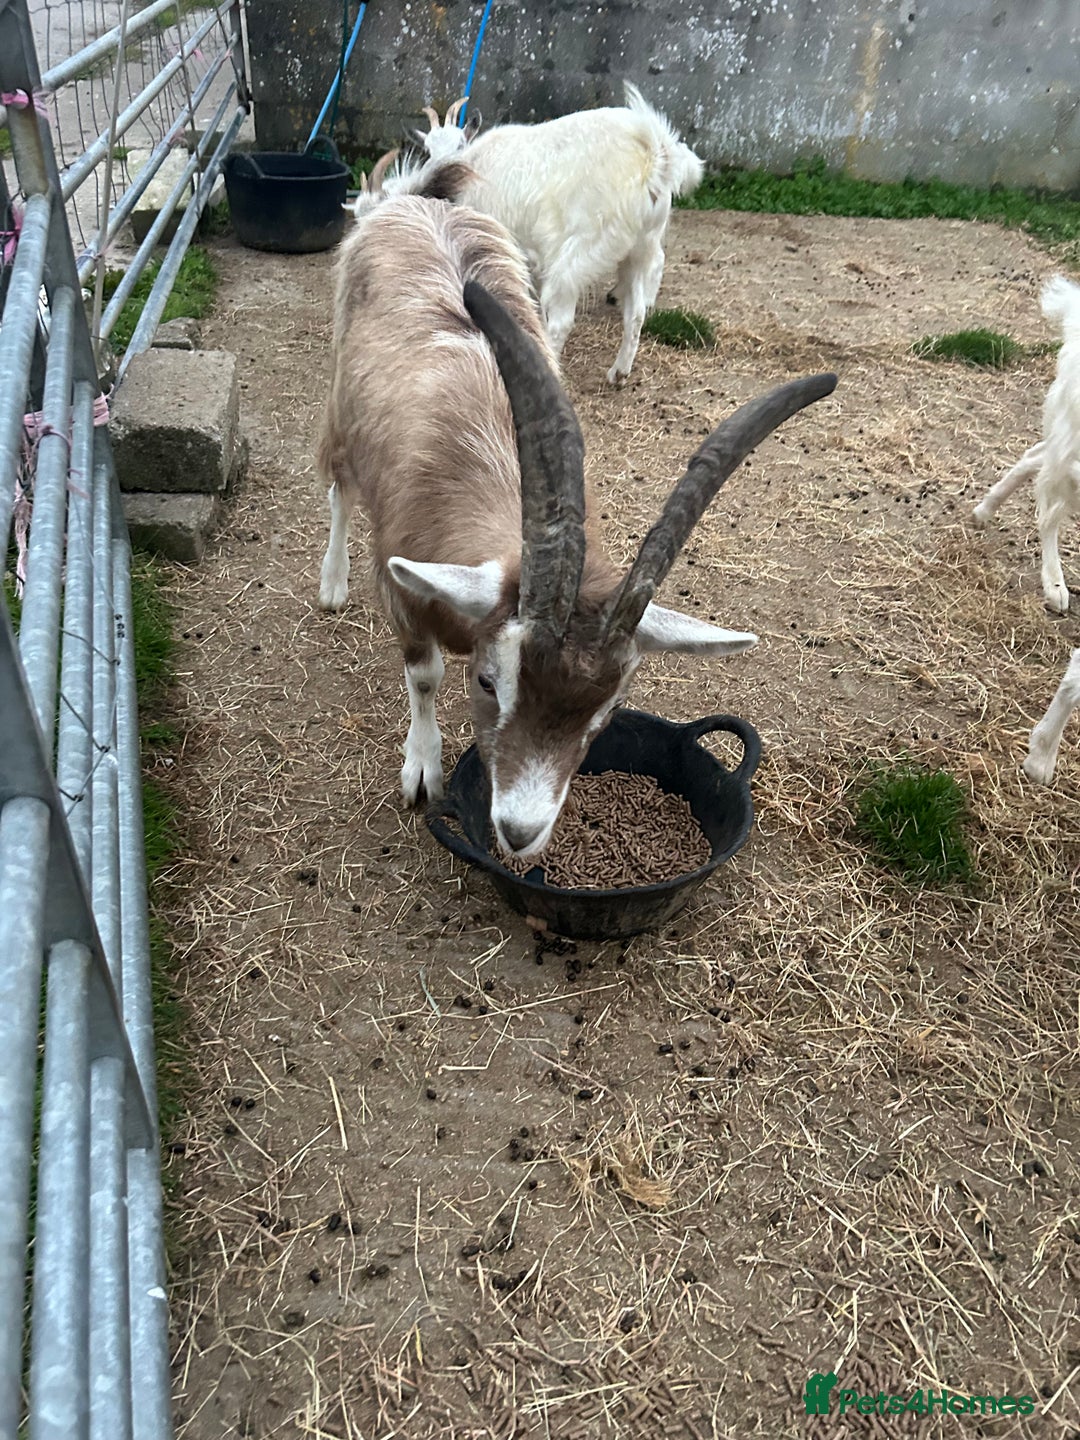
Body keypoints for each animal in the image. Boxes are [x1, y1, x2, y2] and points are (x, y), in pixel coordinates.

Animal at [317, 193, 836, 858]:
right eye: (488, 682)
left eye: (608, 712)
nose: (519, 832)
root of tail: (415, 204)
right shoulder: (402, 589)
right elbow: (426, 676)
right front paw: (422, 770)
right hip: (341, 409)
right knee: (338, 488)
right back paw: (332, 583)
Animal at [362, 82, 705, 386]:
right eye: (428, 149)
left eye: (460, 142)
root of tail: (653, 153)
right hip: (640, 248)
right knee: (636, 311)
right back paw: (619, 373)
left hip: (578, 254)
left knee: (563, 319)